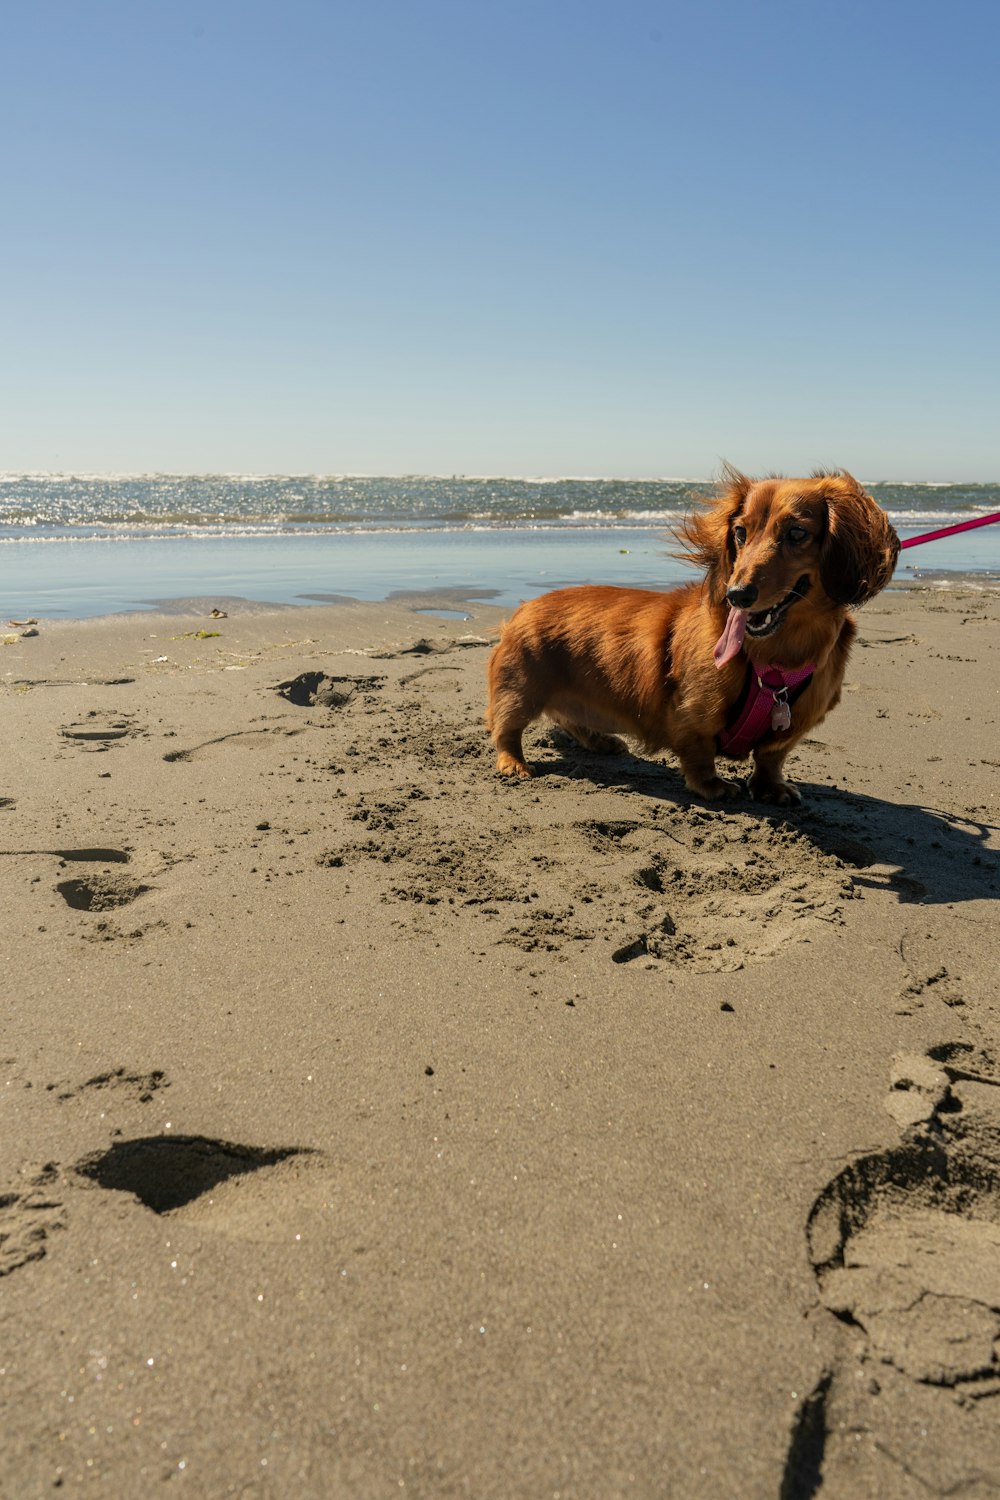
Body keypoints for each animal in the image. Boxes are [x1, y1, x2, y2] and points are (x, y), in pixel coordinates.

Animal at [485, 468, 899, 804]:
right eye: (740, 532)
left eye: (797, 533)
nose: (737, 595)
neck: (775, 660)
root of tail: (522, 608)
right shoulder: (692, 713)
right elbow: (698, 754)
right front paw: (712, 786)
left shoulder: (794, 724)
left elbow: (771, 757)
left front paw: (771, 787)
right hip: (520, 690)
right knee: (506, 728)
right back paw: (514, 763)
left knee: (570, 718)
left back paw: (600, 741)